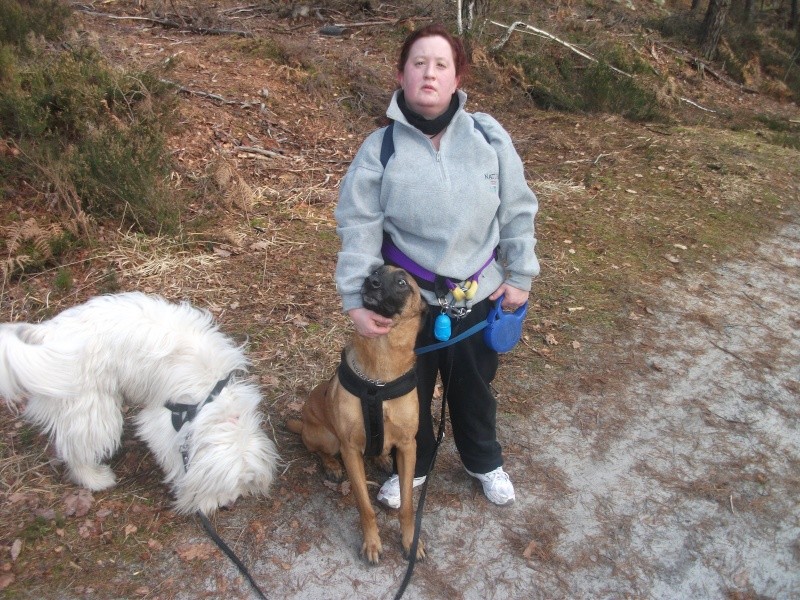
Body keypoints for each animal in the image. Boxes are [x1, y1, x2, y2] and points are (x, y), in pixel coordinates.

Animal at [0, 292, 278, 516]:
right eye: (220, 488)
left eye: (243, 483)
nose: (227, 504)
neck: (212, 397)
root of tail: (48, 334)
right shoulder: (166, 423)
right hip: (92, 407)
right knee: (77, 447)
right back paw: (95, 478)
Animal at [288, 264, 424, 564]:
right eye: (376, 270)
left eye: (402, 282)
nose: (370, 281)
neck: (380, 378)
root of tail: (303, 424)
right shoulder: (350, 450)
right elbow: (365, 506)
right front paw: (372, 543)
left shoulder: (408, 447)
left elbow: (407, 505)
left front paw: (410, 540)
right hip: (329, 438)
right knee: (318, 450)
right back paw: (331, 465)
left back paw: (382, 458)